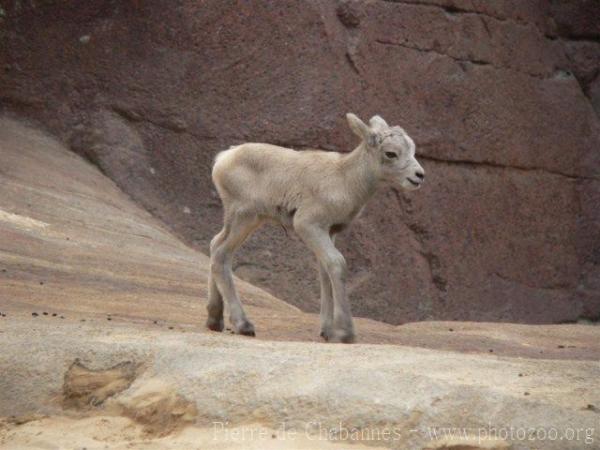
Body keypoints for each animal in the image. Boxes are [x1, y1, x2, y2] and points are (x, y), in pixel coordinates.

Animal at [209, 114, 424, 342]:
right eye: (391, 153)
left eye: (412, 148)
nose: (419, 175)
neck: (344, 180)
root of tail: (223, 159)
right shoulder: (308, 224)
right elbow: (337, 264)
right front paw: (345, 333)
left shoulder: (330, 231)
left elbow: (324, 272)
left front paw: (328, 331)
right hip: (245, 217)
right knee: (221, 254)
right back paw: (244, 325)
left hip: (242, 219)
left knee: (215, 244)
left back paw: (215, 320)